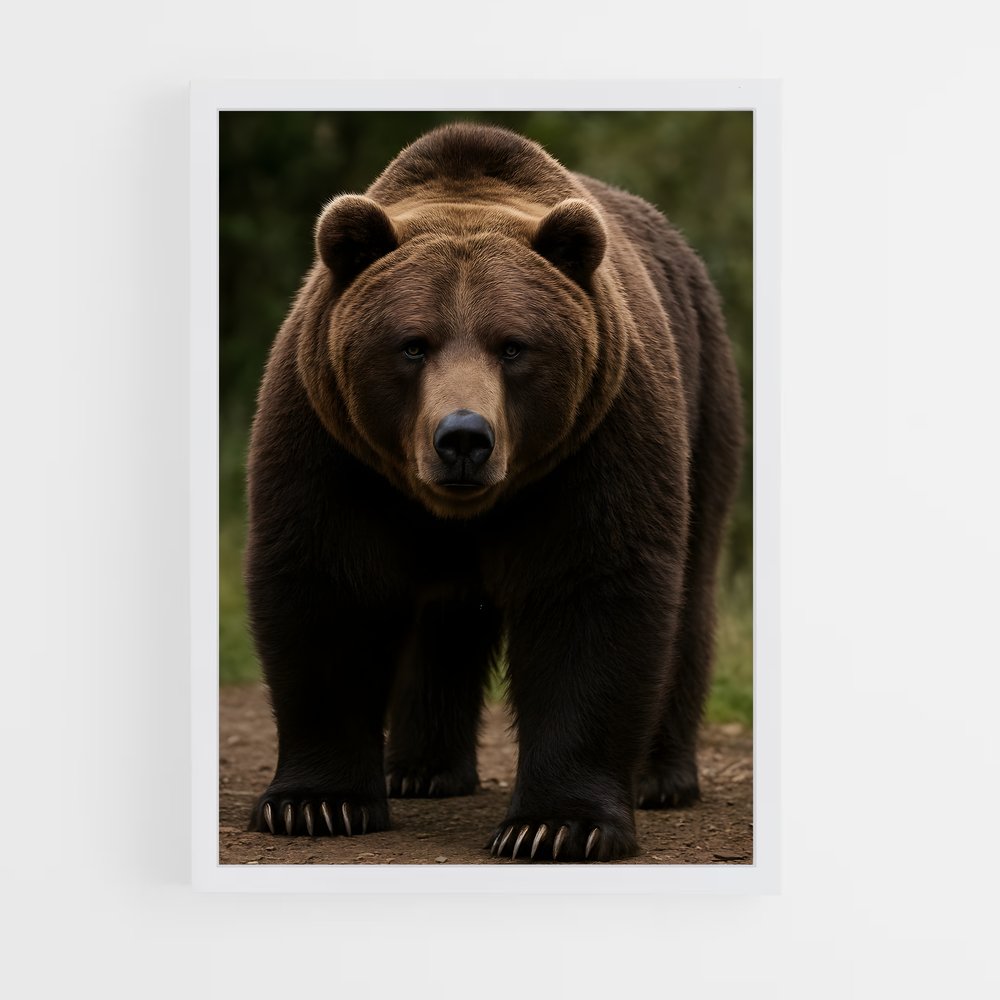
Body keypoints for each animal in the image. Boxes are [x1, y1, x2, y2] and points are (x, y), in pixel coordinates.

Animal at [244, 122, 743, 862]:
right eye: (412, 344)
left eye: (513, 346)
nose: (463, 437)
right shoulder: (331, 445)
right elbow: (327, 586)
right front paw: (314, 803)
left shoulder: (597, 443)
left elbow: (591, 595)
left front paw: (556, 825)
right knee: (444, 616)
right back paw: (419, 769)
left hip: (704, 397)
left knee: (689, 586)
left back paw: (660, 776)